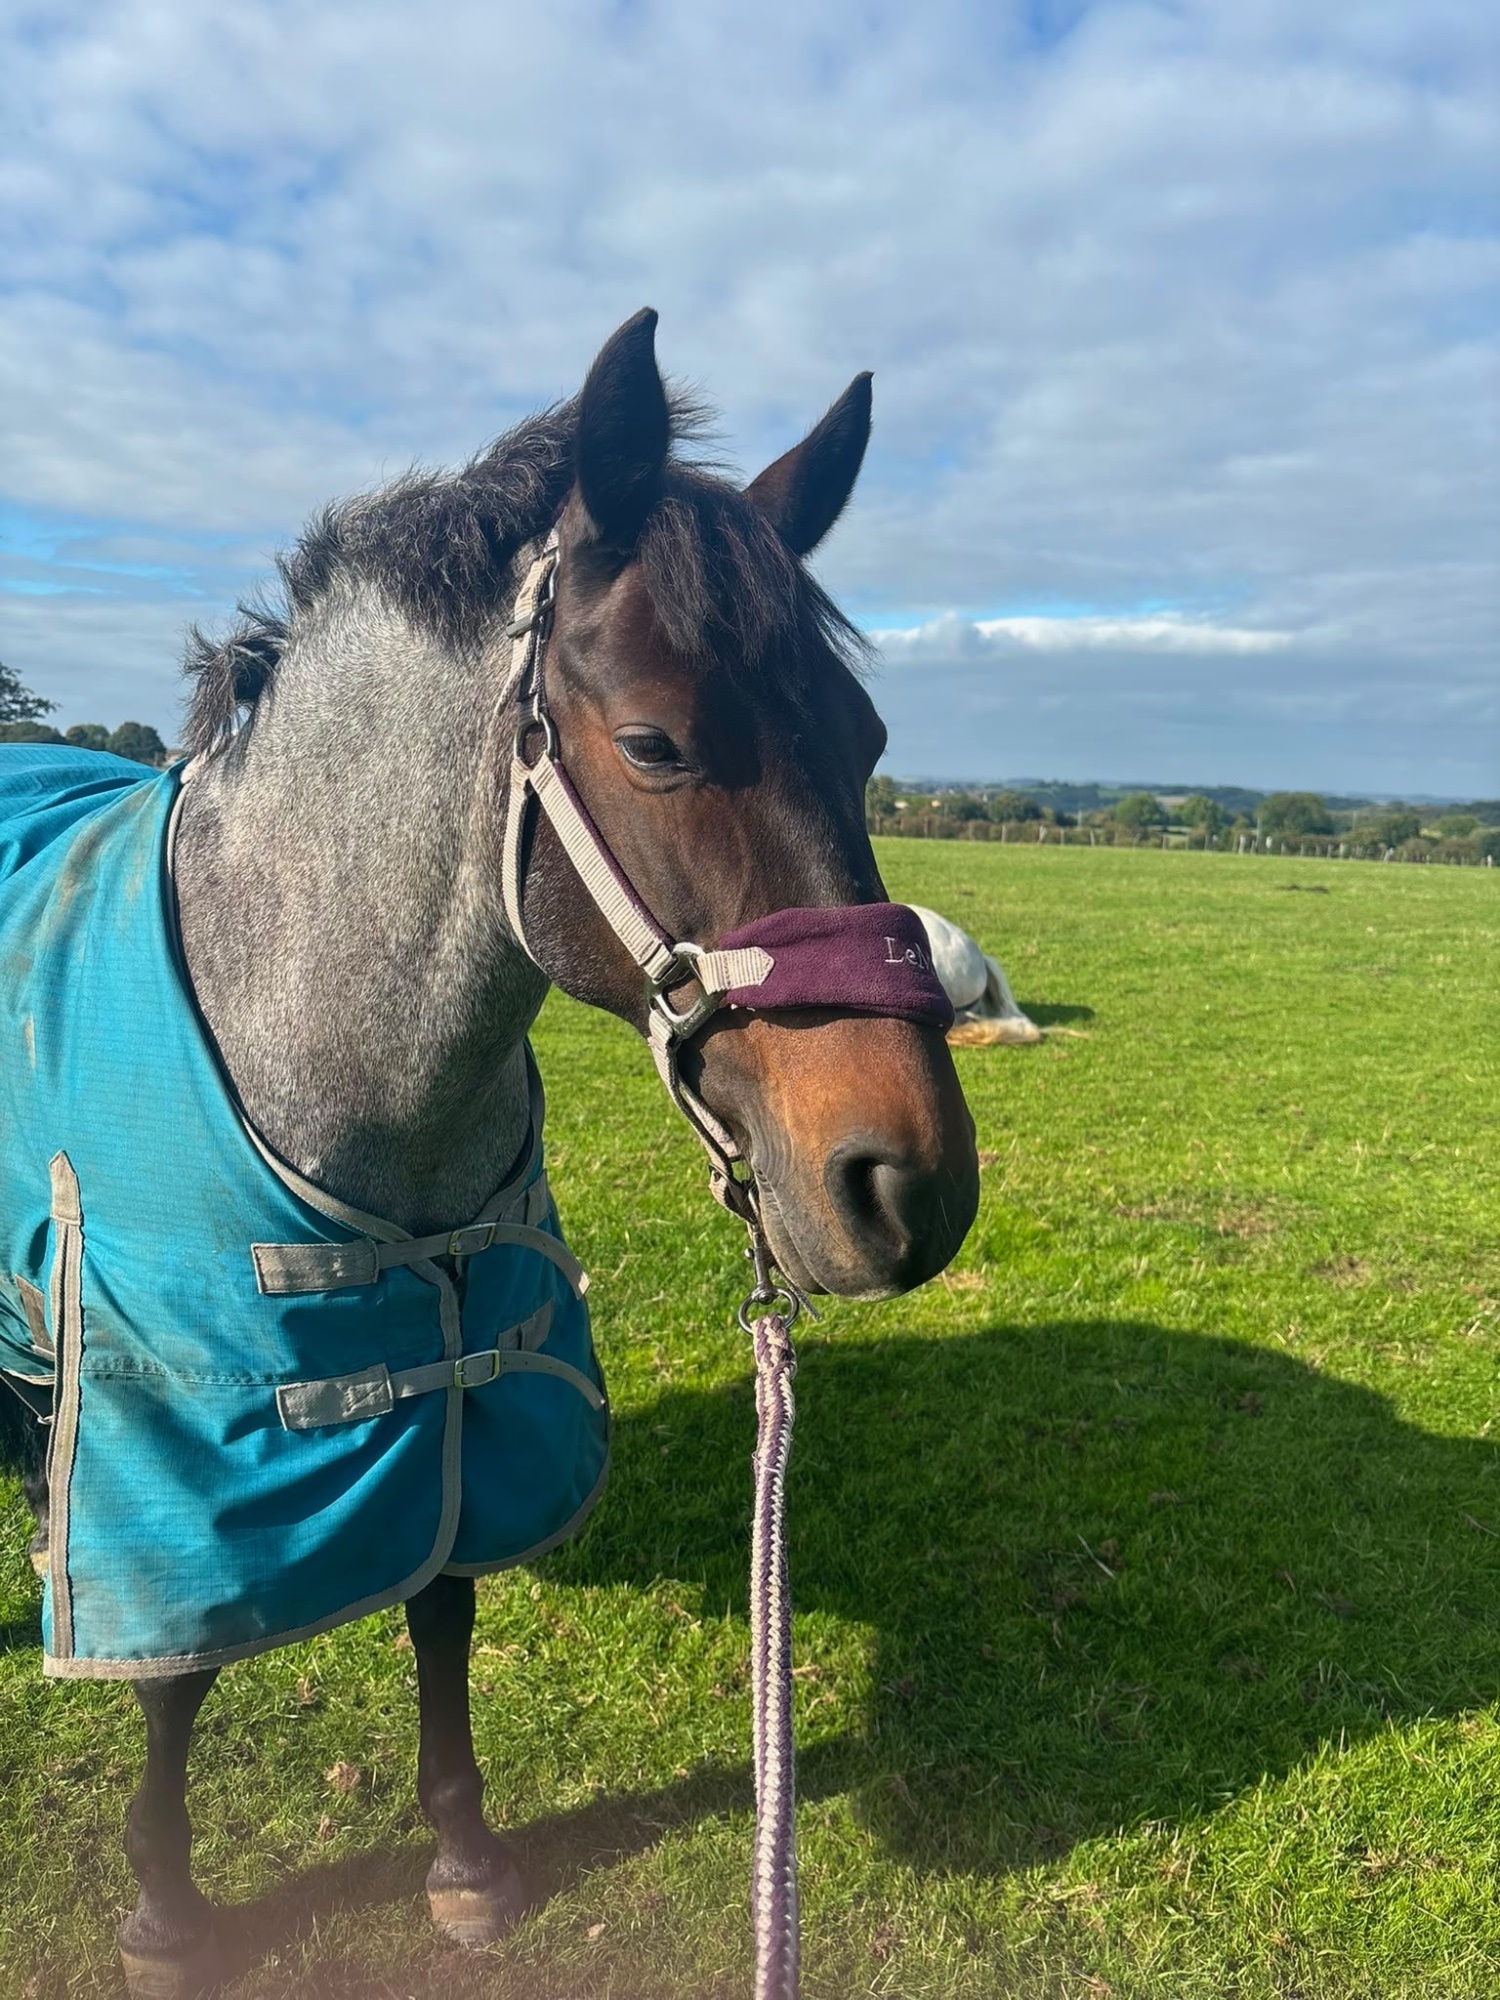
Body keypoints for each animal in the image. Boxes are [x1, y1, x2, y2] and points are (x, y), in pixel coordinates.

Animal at [0, 309, 978, 1997]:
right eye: (655, 740)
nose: (913, 1182)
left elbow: (443, 1594)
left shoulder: (465, 1358)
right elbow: (178, 1671)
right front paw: (170, 1911)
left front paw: (463, 1856)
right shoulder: (169, 1429)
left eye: (865, 740)